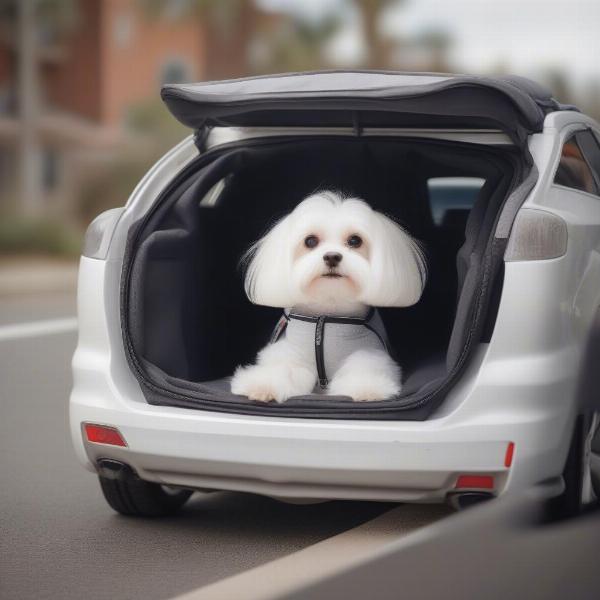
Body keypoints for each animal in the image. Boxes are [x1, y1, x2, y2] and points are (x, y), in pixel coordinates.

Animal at [231, 190, 426, 400]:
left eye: (355, 240)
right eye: (310, 241)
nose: (332, 256)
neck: (328, 310)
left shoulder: (368, 350)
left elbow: (363, 367)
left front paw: (367, 389)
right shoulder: (291, 352)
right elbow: (282, 368)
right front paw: (263, 386)